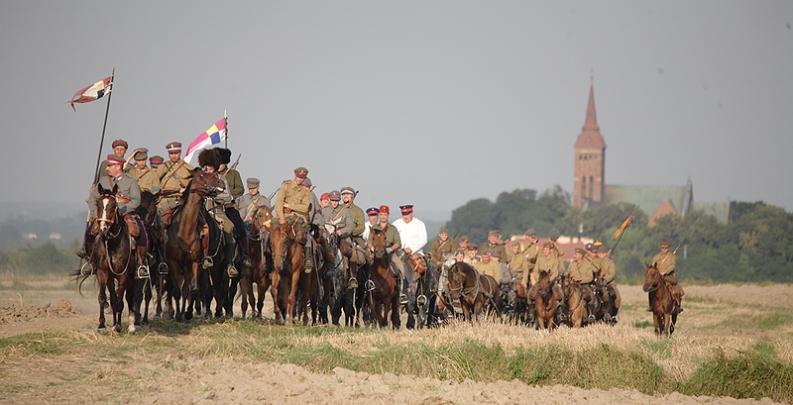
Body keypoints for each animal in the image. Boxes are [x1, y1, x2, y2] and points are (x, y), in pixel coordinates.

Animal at [79, 183, 145, 332]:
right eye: (98, 204)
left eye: (114, 205)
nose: (103, 229)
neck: (113, 244)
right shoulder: (103, 273)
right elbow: (104, 298)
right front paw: (102, 325)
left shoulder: (123, 275)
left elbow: (120, 300)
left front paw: (119, 325)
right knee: (115, 297)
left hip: (132, 276)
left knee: (130, 297)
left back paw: (131, 324)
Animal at [161, 169, 223, 320]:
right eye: (202, 176)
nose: (222, 183)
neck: (184, 231)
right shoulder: (173, 263)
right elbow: (176, 291)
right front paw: (178, 315)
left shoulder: (194, 262)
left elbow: (193, 290)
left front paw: (187, 313)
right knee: (173, 288)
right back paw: (172, 312)